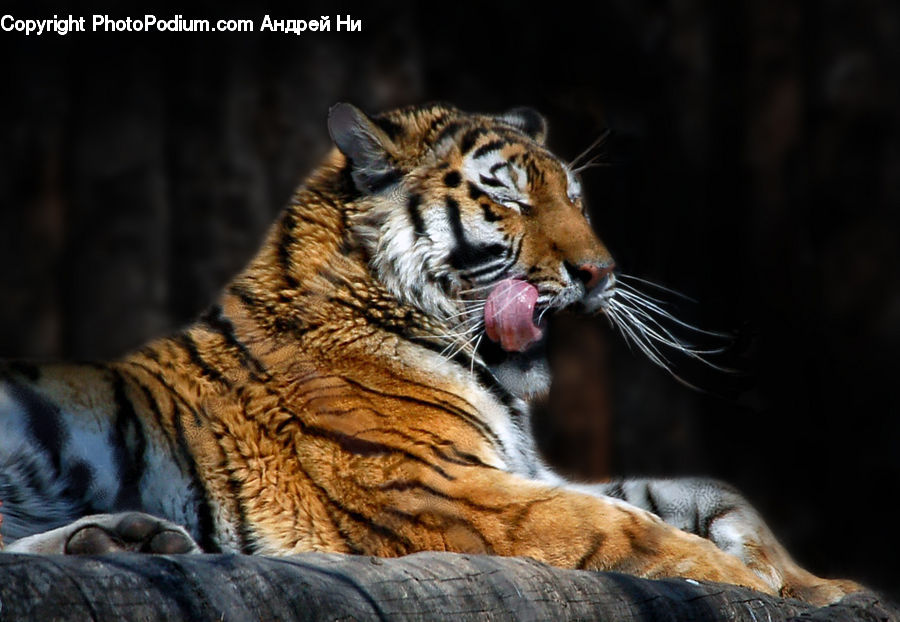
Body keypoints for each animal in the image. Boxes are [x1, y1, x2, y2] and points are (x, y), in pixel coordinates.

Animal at [0, 102, 862, 605]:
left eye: (574, 198)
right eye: (508, 196)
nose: (600, 272)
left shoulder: (518, 466)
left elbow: (698, 492)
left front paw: (824, 584)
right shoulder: (431, 485)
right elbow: (619, 528)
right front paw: (746, 582)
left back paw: (120, 539)